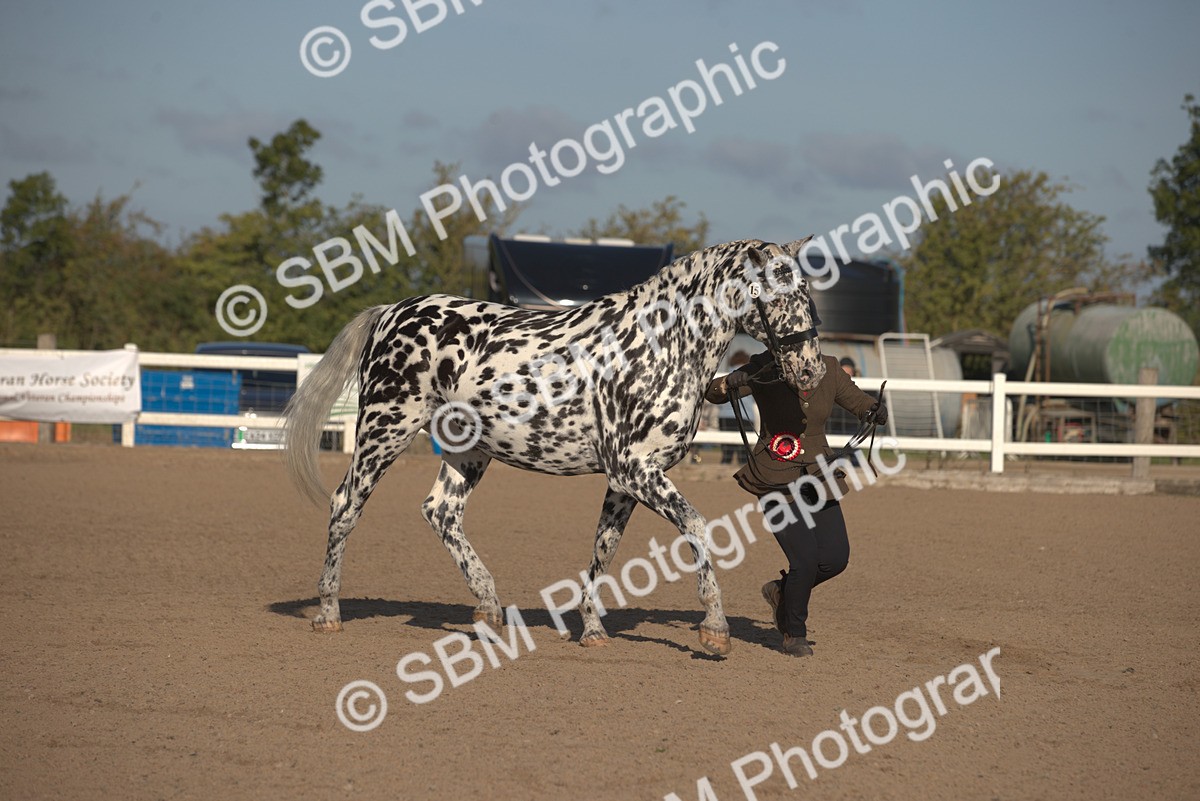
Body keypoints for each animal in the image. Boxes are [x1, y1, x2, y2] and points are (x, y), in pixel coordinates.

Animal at [281, 237, 825, 656]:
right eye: (780, 290)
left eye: (806, 290)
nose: (811, 370)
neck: (661, 346)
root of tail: (389, 314)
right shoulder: (635, 470)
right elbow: (696, 526)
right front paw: (714, 629)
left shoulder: (625, 481)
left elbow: (604, 548)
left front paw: (592, 630)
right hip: (385, 428)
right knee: (346, 505)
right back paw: (328, 612)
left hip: (467, 450)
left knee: (441, 512)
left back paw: (489, 609)